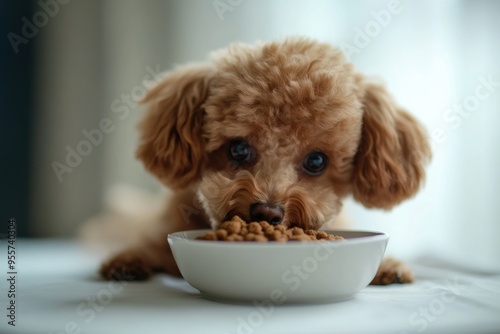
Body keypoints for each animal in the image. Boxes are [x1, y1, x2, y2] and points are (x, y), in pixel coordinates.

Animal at [100, 37, 430, 284]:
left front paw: (390, 267)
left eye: (317, 161)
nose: (266, 212)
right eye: (238, 149)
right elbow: (151, 246)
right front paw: (128, 261)